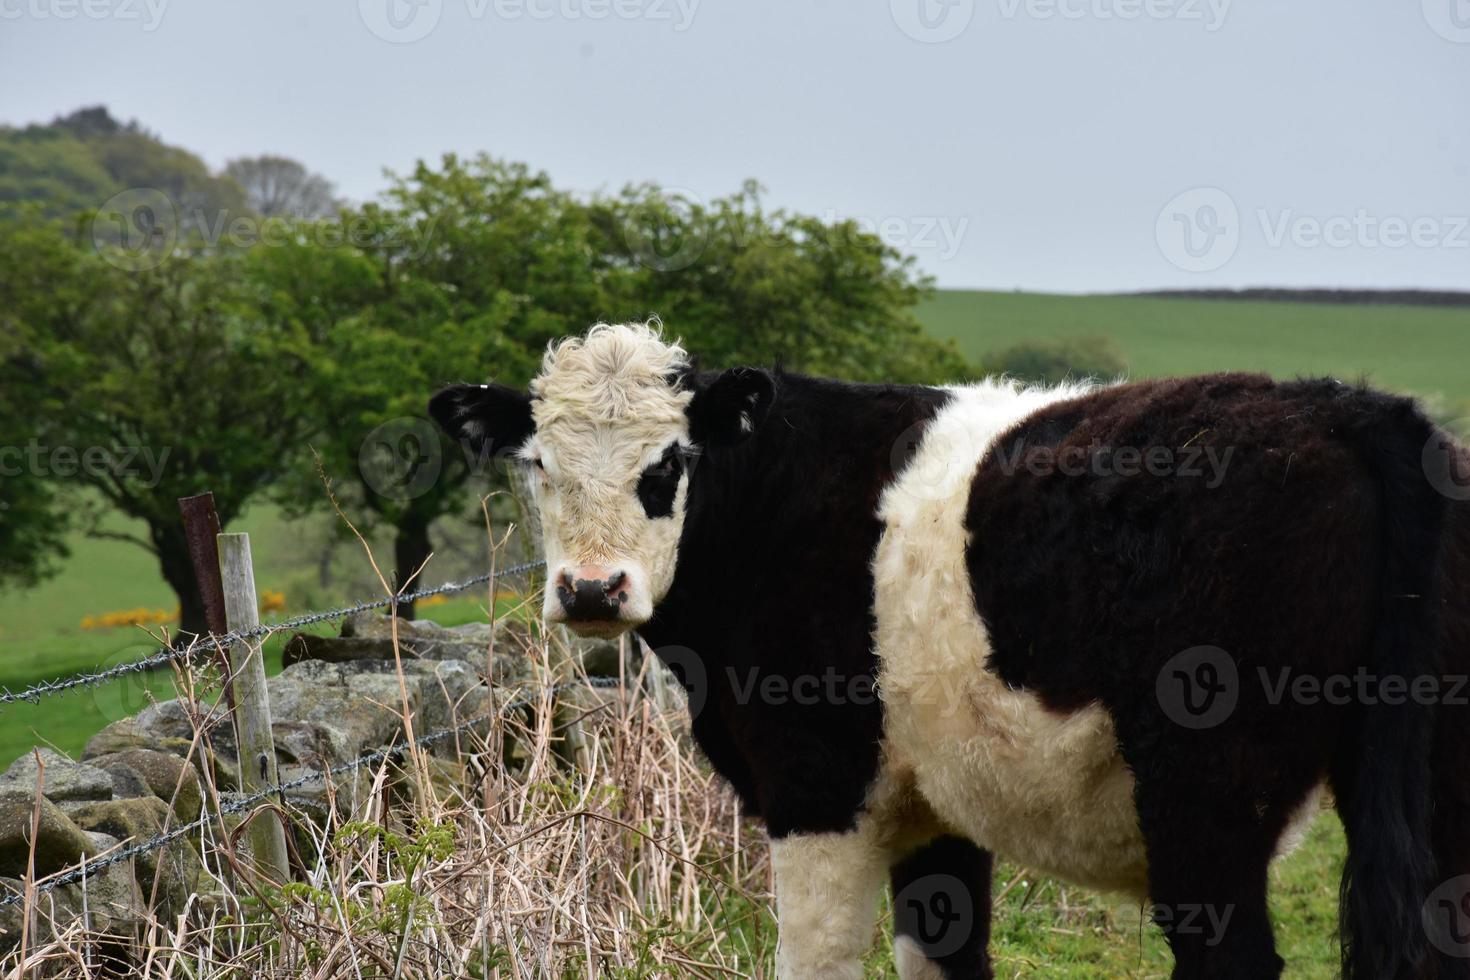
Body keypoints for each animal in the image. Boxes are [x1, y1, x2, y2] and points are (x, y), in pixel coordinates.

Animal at [429, 323, 1470, 980]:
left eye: (669, 463)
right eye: (538, 465)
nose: (591, 590)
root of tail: (1350, 410)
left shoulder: (817, 783)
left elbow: (816, 960)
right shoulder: (941, 801)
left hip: (1207, 792)